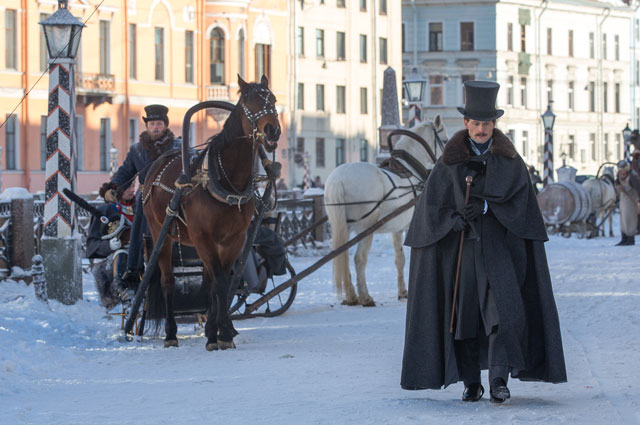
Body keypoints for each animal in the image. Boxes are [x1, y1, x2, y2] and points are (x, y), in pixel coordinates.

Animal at [142, 75, 280, 348]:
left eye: (273, 99)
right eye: (248, 100)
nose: (272, 130)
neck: (225, 179)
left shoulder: (234, 239)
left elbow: (221, 282)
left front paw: (218, 331)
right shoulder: (203, 236)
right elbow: (220, 281)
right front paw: (222, 332)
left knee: (207, 282)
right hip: (160, 233)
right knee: (167, 282)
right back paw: (171, 334)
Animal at [322, 117, 448, 304]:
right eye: (445, 140)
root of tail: (339, 180)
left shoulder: (398, 229)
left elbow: (400, 259)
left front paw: (403, 291)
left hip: (343, 227)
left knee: (342, 255)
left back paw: (351, 296)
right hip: (366, 228)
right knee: (359, 258)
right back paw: (365, 296)